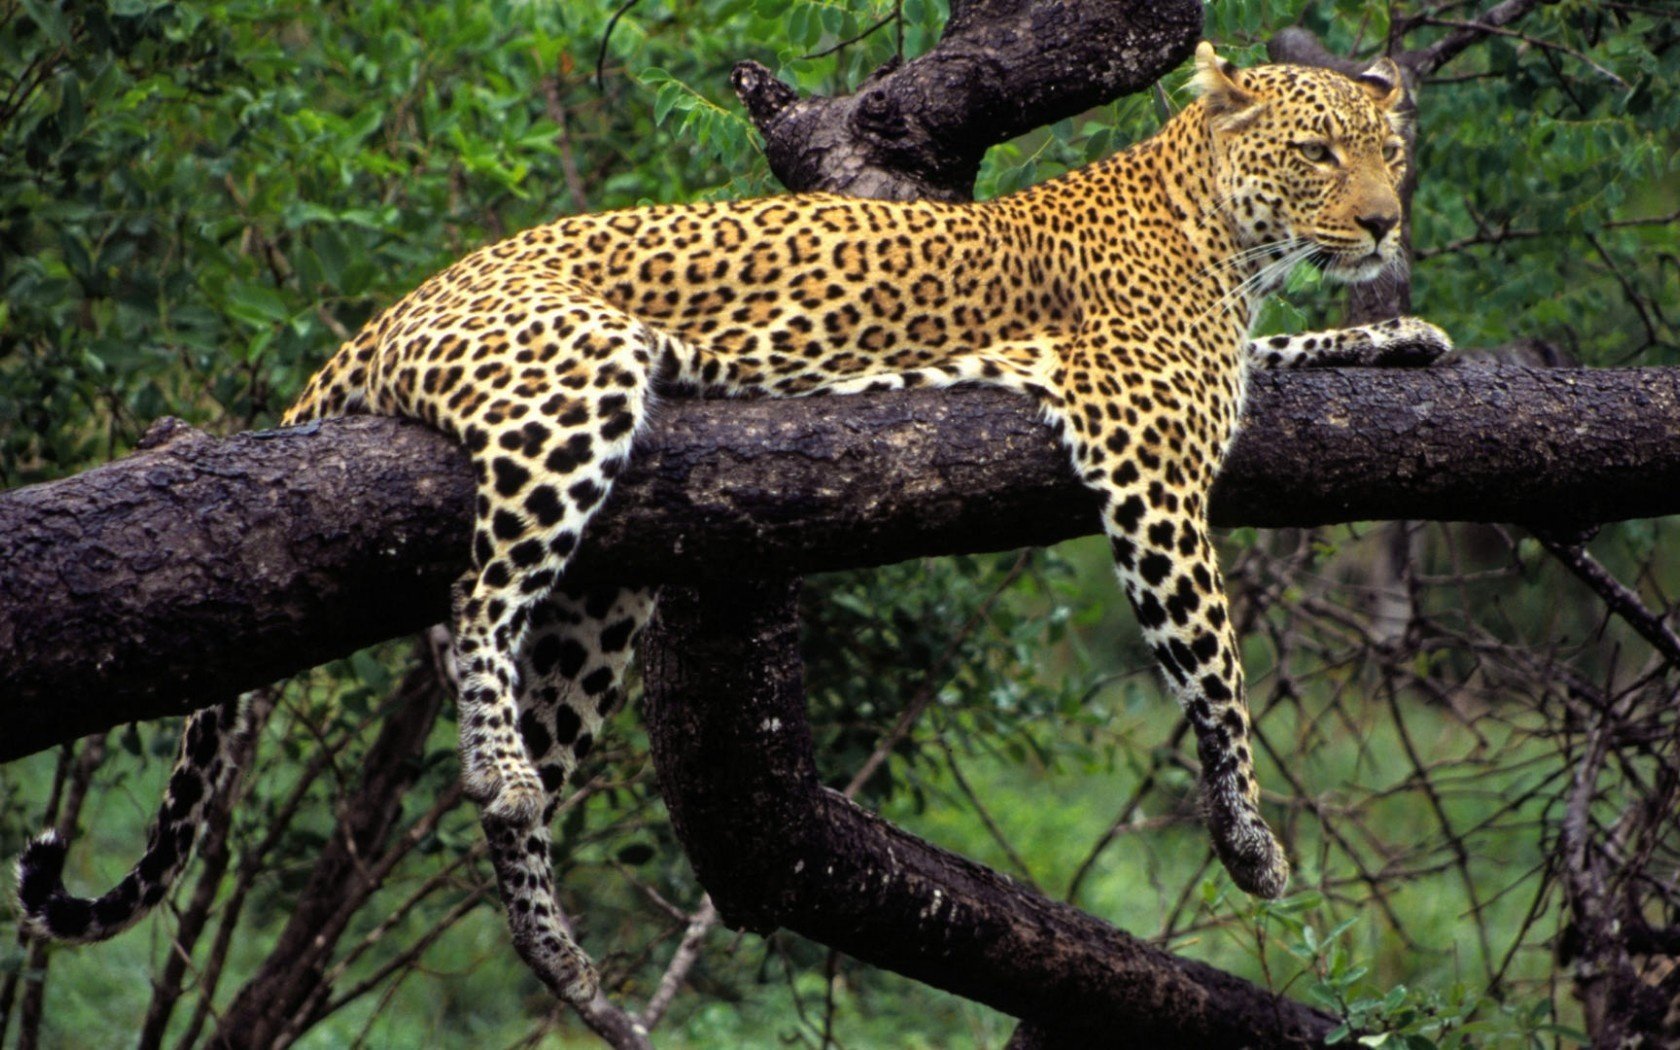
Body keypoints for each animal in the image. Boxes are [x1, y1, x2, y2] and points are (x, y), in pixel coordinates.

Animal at [18, 43, 1450, 1004]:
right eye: (1319, 152)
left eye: (1392, 154)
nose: (1386, 222)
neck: (1221, 230)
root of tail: (396, 306)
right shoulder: (1147, 453)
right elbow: (1219, 672)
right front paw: (1251, 837)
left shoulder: (1212, 383)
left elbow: (1292, 355)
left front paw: (1401, 335)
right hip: (572, 385)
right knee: (476, 600)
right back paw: (501, 771)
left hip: (602, 597)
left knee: (528, 719)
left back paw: (549, 941)